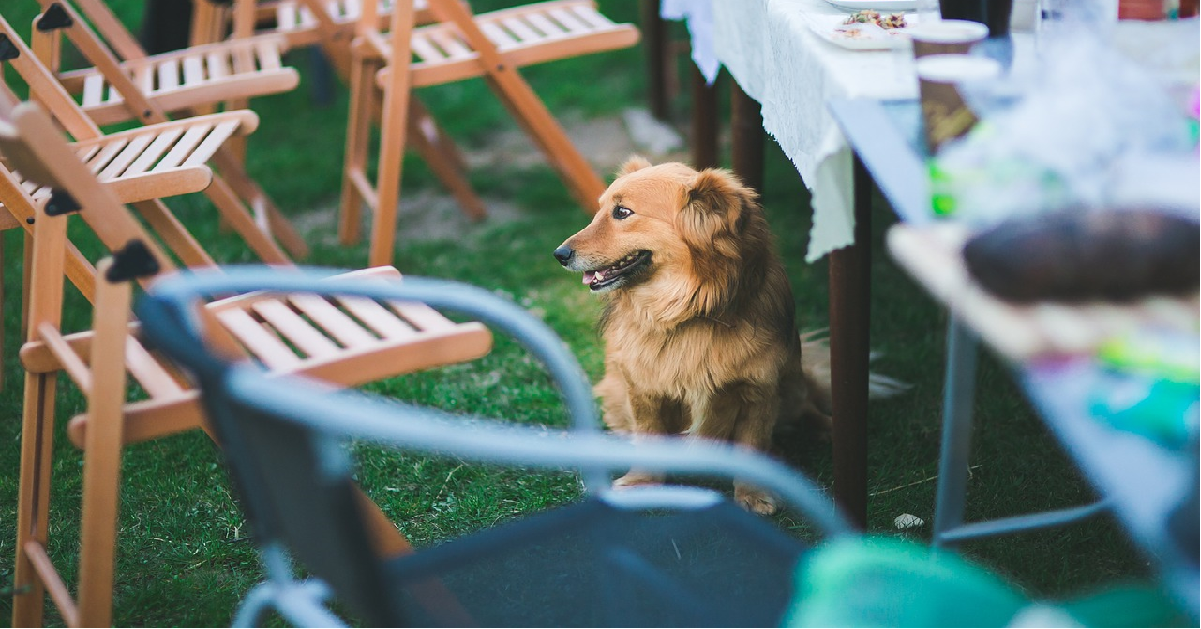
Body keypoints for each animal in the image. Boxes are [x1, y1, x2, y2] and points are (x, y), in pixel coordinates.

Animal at [554, 158, 845, 516]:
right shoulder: (644, 390)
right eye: (600, 211)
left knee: (806, 406)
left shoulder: (759, 392)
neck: (687, 309)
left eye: (622, 212)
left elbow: (752, 444)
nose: (559, 254)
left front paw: (752, 494)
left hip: (790, 386)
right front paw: (642, 482)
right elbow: (649, 435)